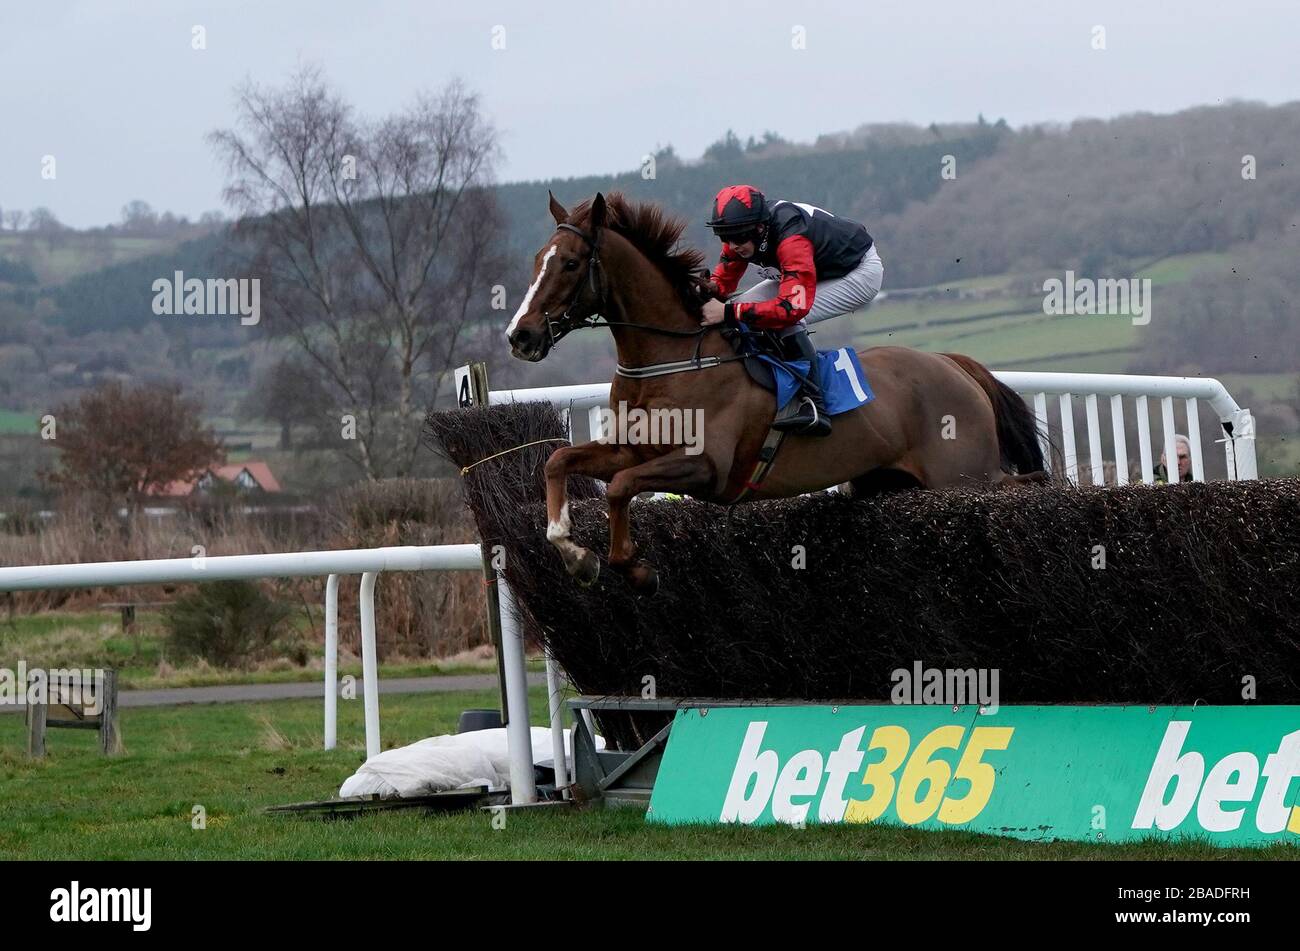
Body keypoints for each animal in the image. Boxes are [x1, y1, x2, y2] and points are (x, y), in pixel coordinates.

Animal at [506, 190, 1045, 595]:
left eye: (570, 263)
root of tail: (954, 364)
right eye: (535, 261)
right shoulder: (631, 450)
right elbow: (558, 462)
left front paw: (633, 569)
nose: (520, 336)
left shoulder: (707, 466)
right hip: (888, 481)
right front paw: (576, 555)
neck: (669, 360)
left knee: (1018, 486)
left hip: (964, 476)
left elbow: (620, 487)